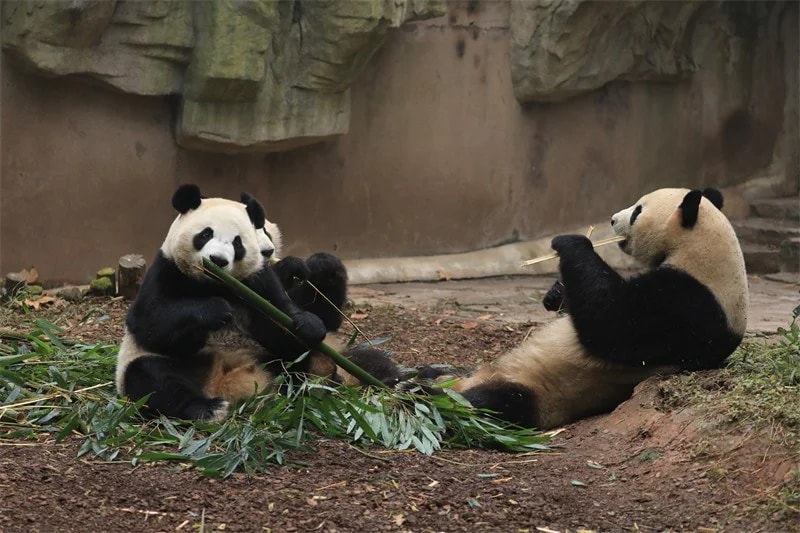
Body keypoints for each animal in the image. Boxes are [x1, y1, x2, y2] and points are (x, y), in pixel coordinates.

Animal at [116, 184, 397, 422]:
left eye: (237, 242)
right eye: (205, 234)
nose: (218, 260)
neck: (217, 283)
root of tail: (223, 383)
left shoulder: (259, 282)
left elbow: (282, 321)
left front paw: (307, 322)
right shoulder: (166, 271)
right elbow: (149, 322)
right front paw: (216, 310)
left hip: (275, 360)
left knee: (346, 361)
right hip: (176, 364)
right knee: (152, 378)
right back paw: (208, 409)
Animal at [421, 187, 749, 430]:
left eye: (638, 210)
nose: (612, 219)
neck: (701, 252)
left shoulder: (687, 305)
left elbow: (615, 327)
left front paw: (571, 242)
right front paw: (556, 293)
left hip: (538, 394)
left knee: (487, 402)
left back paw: (426, 392)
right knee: (442, 372)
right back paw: (421, 375)